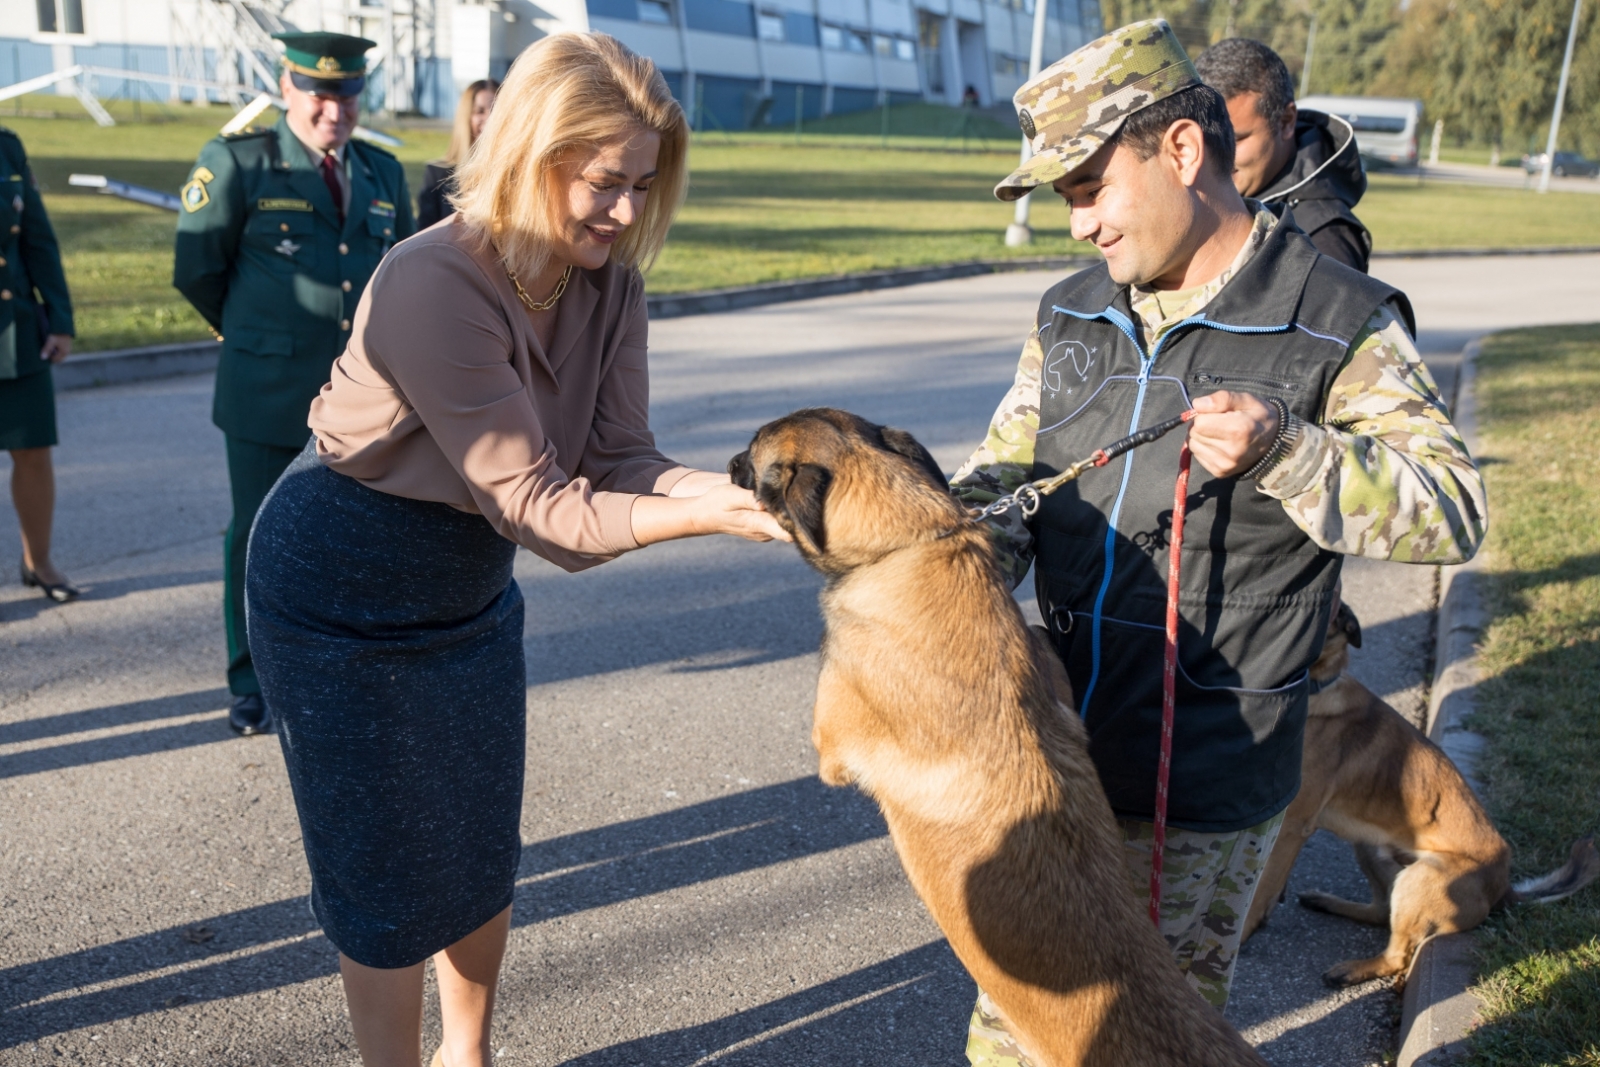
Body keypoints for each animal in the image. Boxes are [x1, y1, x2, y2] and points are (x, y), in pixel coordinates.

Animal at [1248, 604, 1600, 991]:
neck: (1317, 686)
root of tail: (1504, 888)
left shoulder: (1291, 824)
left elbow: (1261, 888)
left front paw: (1246, 930)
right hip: (1370, 847)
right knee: (1380, 912)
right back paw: (1329, 904)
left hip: (1419, 878)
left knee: (1396, 955)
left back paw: (1351, 969)